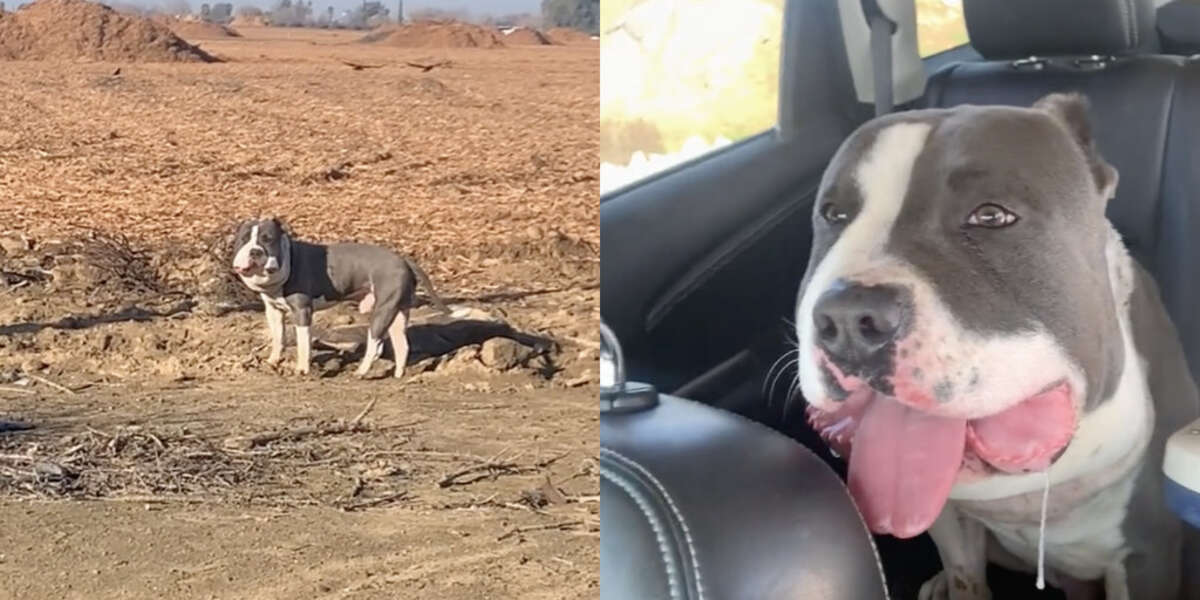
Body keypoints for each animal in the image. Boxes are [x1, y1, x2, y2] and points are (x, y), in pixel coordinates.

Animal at [226, 219, 448, 379]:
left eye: (268, 239)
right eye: (244, 239)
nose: (255, 252)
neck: (288, 260)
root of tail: (404, 260)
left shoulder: (302, 311)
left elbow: (303, 343)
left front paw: (302, 369)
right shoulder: (273, 311)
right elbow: (278, 337)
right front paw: (273, 361)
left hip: (382, 310)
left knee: (374, 342)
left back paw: (361, 371)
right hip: (397, 311)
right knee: (402, 344)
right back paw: (398, 374)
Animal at [796, 93, 1200, 600]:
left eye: (991, 216)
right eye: (834, 215)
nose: (848, 320)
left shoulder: (1146, 552)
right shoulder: (949, 518)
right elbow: (964, 574)